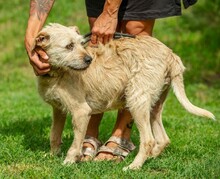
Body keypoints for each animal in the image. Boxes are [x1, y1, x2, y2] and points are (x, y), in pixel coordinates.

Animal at [34, 23, 215, 170]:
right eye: (69, 46)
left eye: (80, 44)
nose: (89, 60)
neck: (56, 73)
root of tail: (171, 54)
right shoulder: (58, 110)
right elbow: (54, 134)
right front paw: (52, 155)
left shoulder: (81, 112)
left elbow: (75, 144)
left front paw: (69, 161)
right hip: (154, 105)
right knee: (163, 139)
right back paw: (149, 158)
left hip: (137, 100)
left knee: (148, 140)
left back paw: (134, 166)